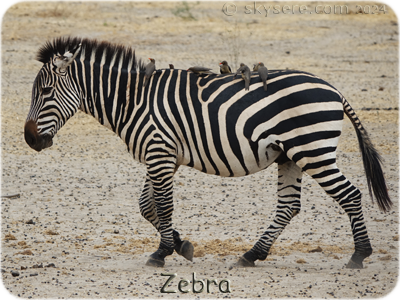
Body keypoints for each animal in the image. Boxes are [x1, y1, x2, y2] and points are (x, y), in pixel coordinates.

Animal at [24, 36, 390, 268]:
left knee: (350, 195)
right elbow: (147, 206)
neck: (134, 101)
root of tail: (334, 89)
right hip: (290, 156)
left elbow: (162, 205)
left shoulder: (159, 153)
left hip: (313, 150)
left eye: (45, 91)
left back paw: (359, 255)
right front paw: (181, 246)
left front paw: (161, 253)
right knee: (289, 206)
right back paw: (251, 255)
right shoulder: (163, 155)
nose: (29, 139)